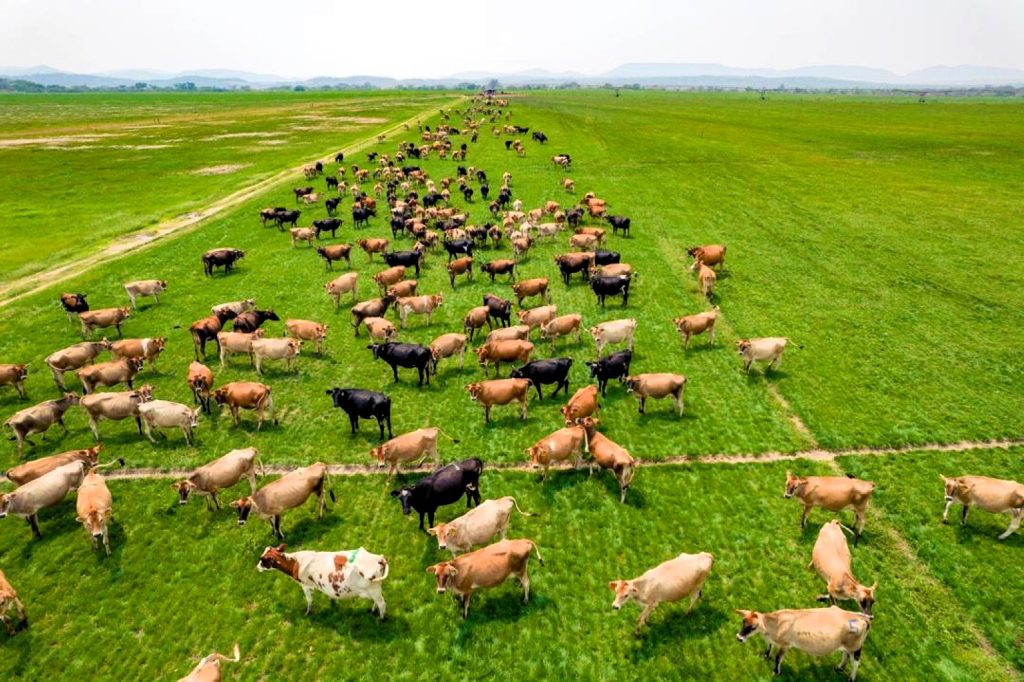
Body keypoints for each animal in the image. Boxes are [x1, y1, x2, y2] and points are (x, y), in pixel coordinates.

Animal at [257, 545, 390, 618]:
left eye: (262, 560)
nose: (257, 567)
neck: (296, 563)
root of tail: (379, 558)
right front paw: (332, 603)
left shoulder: (305, 585)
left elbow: (309, 600)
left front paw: (307, 612)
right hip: (374, 590)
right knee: (377, 602)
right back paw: (373, 610)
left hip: (374, 589)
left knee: (382, 604)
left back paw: (381, 619)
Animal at [736, 606, 871, 681]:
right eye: (743, 621)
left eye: (753, 627)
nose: (739, 638)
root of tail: (863, 617)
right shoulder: (774, 641)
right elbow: (770, 646)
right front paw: (766, 655)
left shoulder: (785, 644)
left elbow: (778, 658)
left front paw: (775, 671)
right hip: (846, 645)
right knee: (845, 654)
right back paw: (839, 668)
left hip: (856, 647)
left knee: (856, 662)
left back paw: (851, 678)